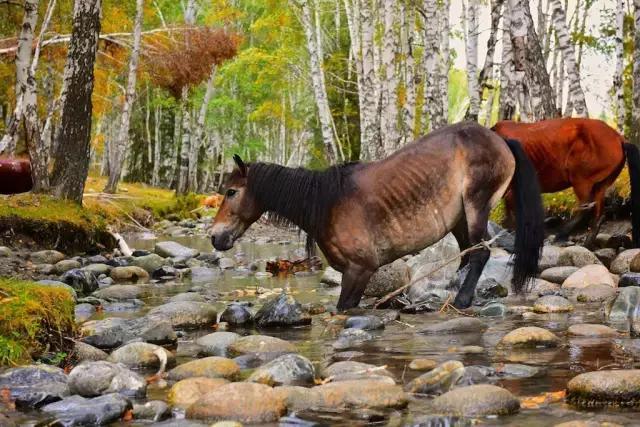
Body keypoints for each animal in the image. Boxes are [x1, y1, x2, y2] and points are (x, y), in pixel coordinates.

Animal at [211, 123, 544, 310]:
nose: (215, 237)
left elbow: (344, 308)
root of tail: (500, 140)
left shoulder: (360, 270)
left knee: (480, 253)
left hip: (476, 206)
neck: (328, 203)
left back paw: (461, 300)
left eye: (231, 191)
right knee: (467, 253)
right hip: (460, 218)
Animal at [496, 118, 640, 249]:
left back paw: (560, 235)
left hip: (580, 179)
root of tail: (620, 138)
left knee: (586, 208)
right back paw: (586, 244)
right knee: (597, 215)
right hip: (600, 185)